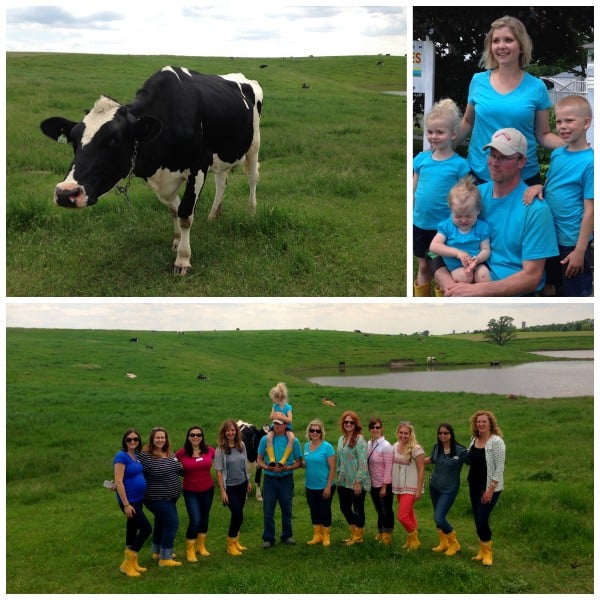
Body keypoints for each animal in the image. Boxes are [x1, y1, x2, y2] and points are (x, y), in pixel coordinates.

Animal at [39, 67, 260, 276]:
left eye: (114, 139)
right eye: (73, 140)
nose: (66, 192)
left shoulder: (199, 165)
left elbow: (185, 213)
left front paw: (183, 259)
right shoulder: (160, 177)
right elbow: (173, 208)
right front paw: (177, 240)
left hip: (254, 145)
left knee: (252, 178)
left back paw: (251, 211)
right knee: (221, 181)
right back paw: (214, 214)